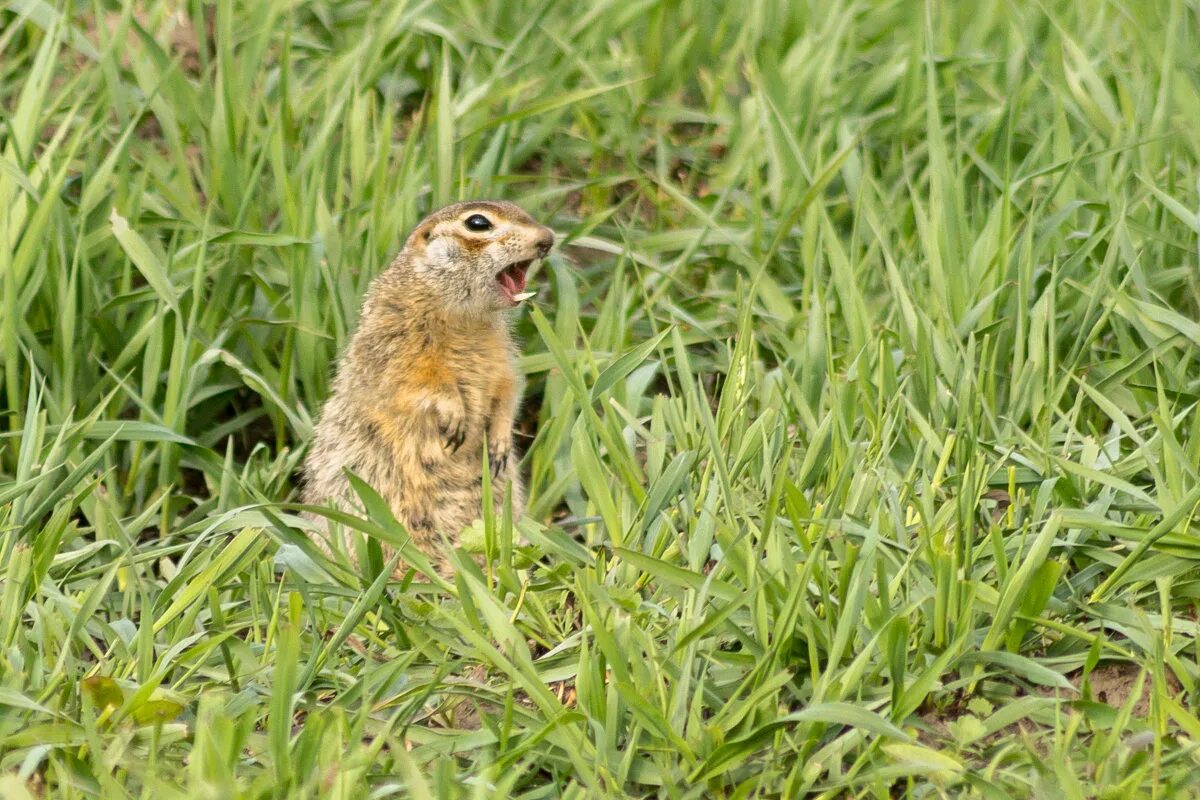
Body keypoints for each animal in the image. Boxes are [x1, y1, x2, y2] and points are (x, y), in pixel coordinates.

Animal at [304, 200, 556, 575]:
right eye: (478, 223)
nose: (548, 239)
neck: (465, 317)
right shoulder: (397, 343)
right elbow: (419, 384)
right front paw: (453, 414)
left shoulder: (502, 359)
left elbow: (508, 389)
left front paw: (499, 442)